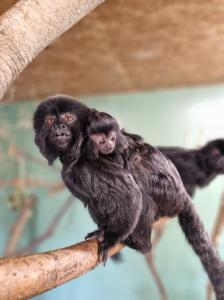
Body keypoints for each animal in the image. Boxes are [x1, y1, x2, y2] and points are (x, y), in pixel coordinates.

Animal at [33, 97, 224, 298]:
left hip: (167, 195)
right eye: (50, 121)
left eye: (68, 118)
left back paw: (140, 243)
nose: (59, 127)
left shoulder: (88, 163)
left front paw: (111, 237)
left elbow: (130, 193)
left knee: (141, 193)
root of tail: (180, 194)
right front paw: (102, 230)